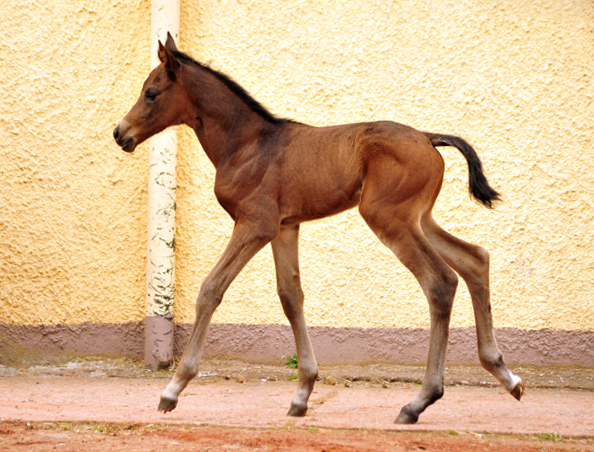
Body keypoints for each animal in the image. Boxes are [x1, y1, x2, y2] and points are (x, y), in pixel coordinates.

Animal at [113, 34, 520, 424]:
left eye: (151, 93)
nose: (120, 133)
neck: (246, 144)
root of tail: (427, 137)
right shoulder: (284, 228)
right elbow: (290, 297)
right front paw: (302, 394)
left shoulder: (254, 225)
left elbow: (211, 289)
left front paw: (173, 389)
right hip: (419, 218)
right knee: (474, 259)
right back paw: (506, 375)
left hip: (389, 218)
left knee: (440, 281)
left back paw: (419, 401)